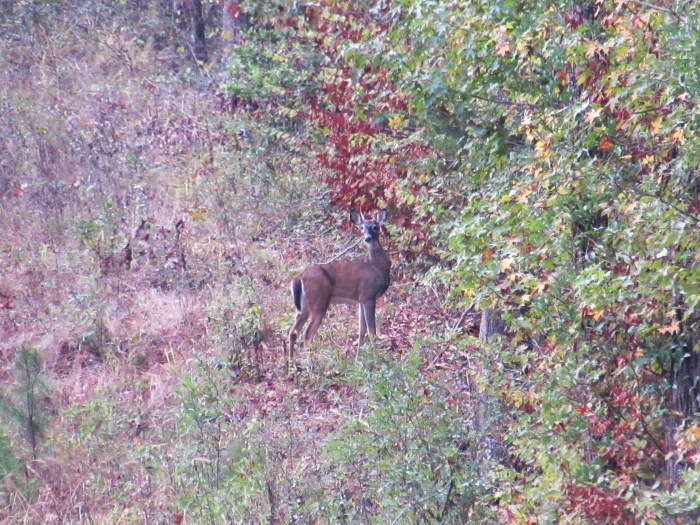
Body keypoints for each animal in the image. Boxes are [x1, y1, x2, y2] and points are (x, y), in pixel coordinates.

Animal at [287, 209, 390, 361]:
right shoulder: (368, 295)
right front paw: (376, 358)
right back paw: (309, 363)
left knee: (293, 331)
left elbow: (361, 330)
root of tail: (299, 277)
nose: (367, 238)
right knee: (307, 335)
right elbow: (372, 331)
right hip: (319, 301)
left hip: (304, 305)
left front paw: (359, 358)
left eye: (375, 227)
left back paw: (290, 361)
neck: (375, 267)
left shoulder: (361, 299)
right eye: (361, 228)